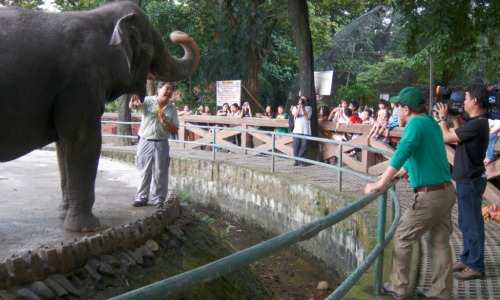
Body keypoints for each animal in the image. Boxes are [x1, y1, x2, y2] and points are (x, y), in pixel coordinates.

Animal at [0, 0, 199, 232]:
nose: (176, 34)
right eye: (151, 48)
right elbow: (84, 141)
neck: (96, 17)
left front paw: (64, 216)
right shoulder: (81, 83)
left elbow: (64, 145)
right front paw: (87, 228)